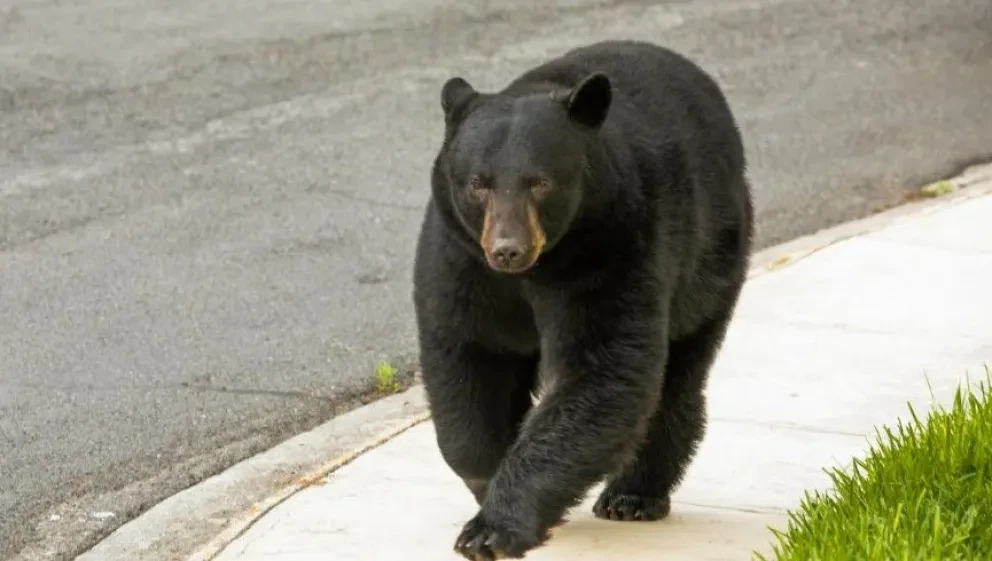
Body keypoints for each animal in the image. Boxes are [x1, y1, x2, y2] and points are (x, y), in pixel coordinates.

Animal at [412, 39, 754, 560]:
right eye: (477, 183)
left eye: (540, 181)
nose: (508, 249)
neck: (536, 269)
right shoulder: (461, 260)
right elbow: (470, 358)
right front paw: (487, 480)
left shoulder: (613, 247)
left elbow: (602, 371)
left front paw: (493, 527)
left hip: (712, 260)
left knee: (677, 375)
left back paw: (634, 494)